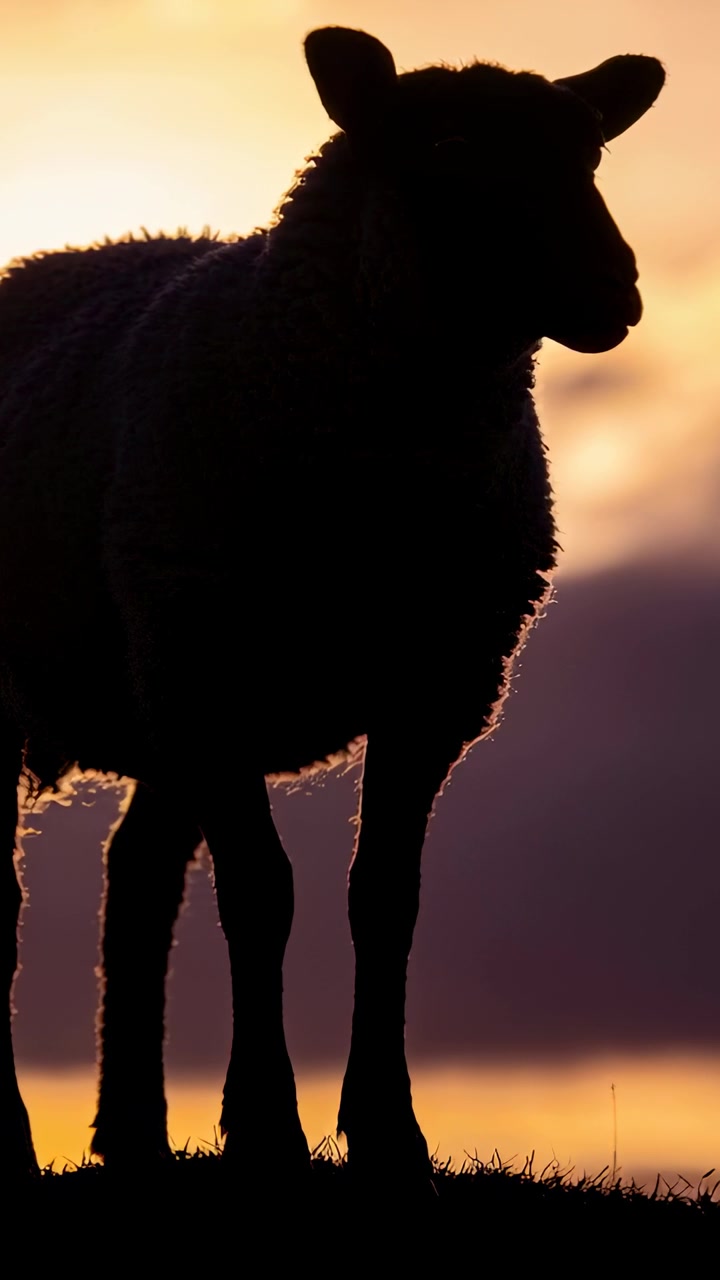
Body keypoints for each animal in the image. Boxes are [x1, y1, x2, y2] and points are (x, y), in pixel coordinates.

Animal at [0, 26, 664, 1178]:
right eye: (444, 146)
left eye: (590, 151)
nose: (612, 290)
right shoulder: (217, 674)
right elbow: (263, 894)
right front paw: (270, 1123)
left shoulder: (434, 687)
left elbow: (383, 899)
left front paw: (389, 1130)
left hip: (162, 684)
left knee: (138, 881)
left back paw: (131, 1133)